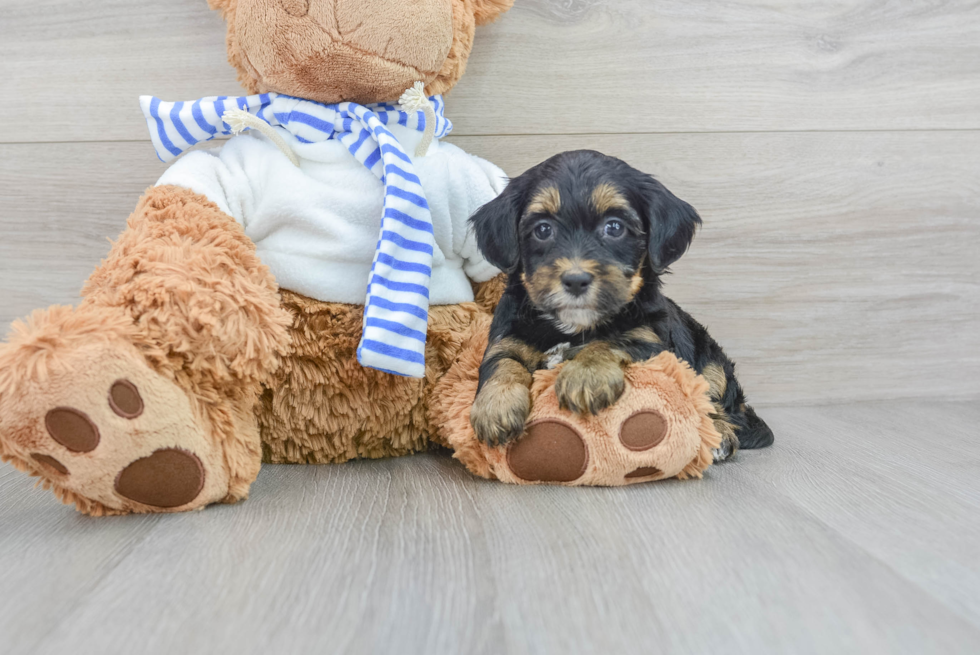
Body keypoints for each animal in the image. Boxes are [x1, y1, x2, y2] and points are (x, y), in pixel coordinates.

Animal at [468, 152, 772, 464]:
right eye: (543, 229)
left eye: (614, 227)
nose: (575, 280)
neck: (573, 325)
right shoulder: (506, 336)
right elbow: (502, 362)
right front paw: (496, 407)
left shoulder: (650, 340)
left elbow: (609, 342)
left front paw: (585, 376)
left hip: (712, 363)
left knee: (719, 404)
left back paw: (720, 433)